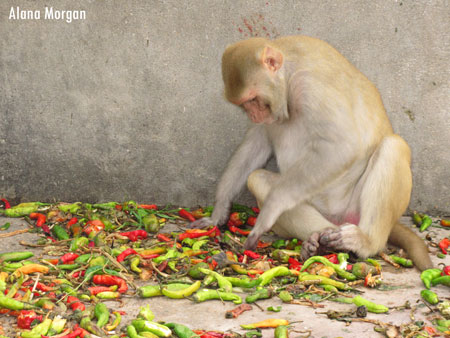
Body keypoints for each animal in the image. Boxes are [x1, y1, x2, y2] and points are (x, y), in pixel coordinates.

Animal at [192, 35, 432, 272]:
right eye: (244, 105)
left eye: (253, 100)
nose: (253, 114)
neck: (288, 73)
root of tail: (340, 218)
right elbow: (257, 143)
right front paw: (219, 211)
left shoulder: (310, 85)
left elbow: (343, 146)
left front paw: (272, 206)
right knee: (257, 178)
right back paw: (320, 241)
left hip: (354, 206)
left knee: (393, 146)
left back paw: (364, 242)